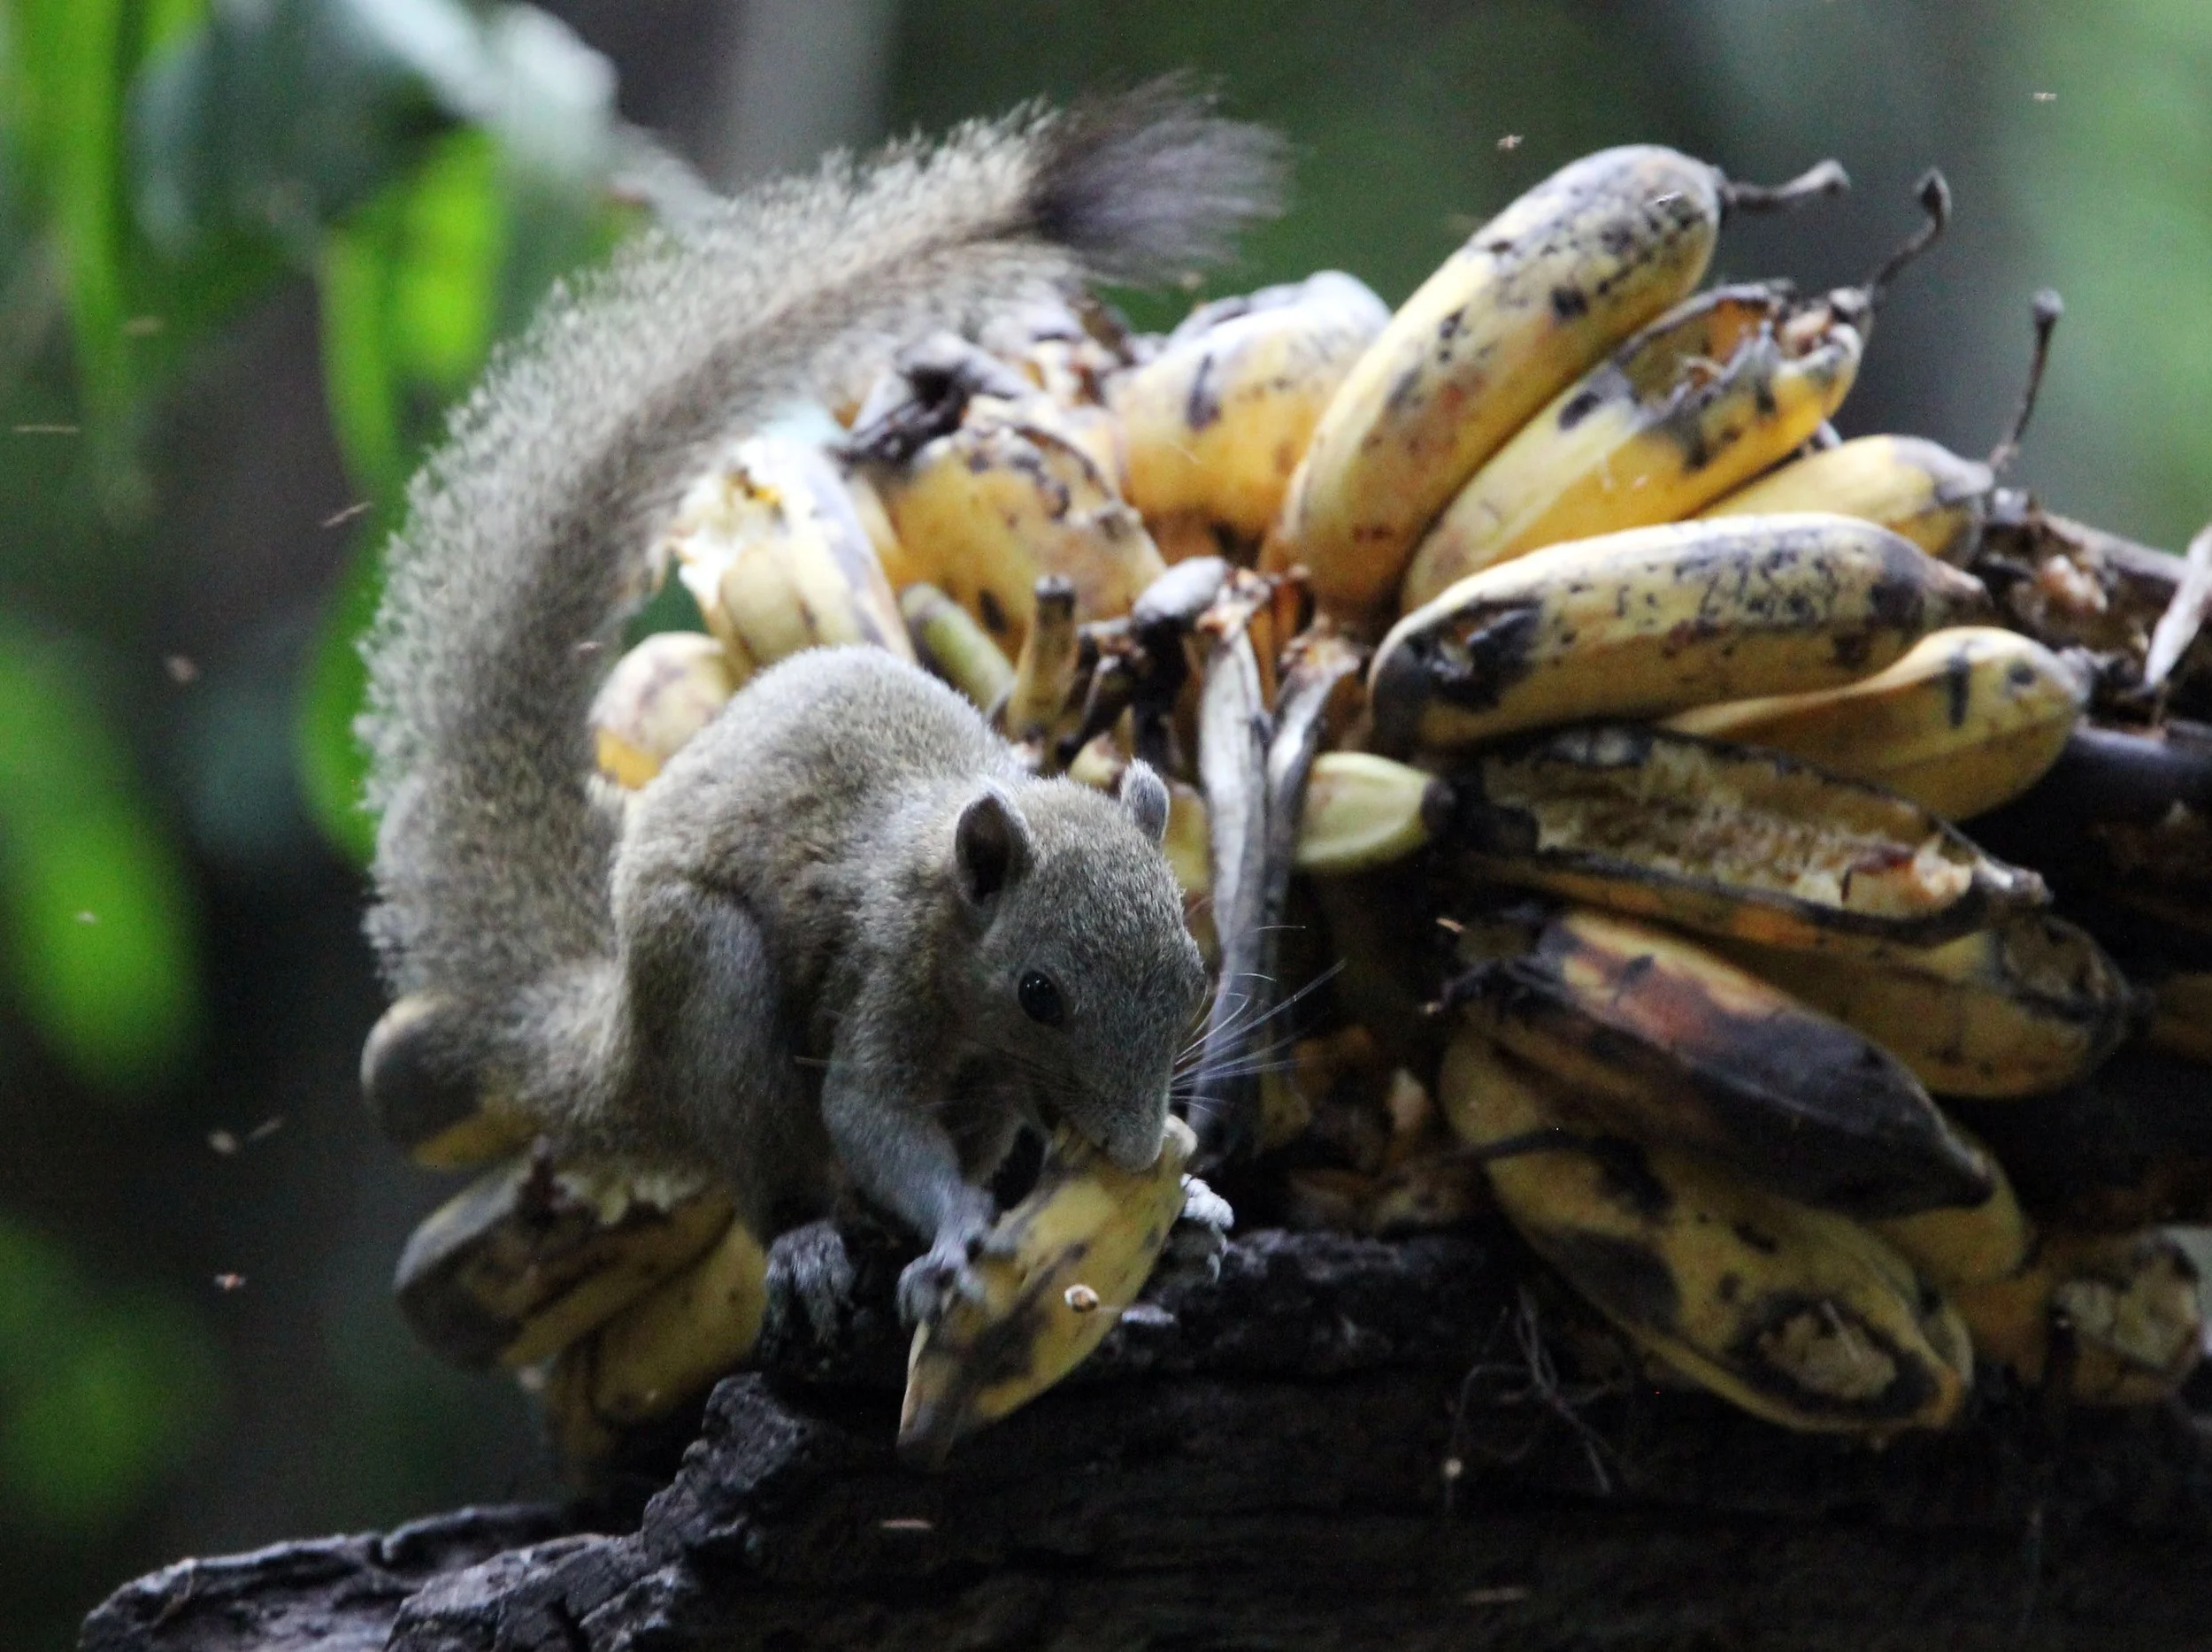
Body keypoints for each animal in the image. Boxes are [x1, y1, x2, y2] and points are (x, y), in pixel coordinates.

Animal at [355, 84, 1284, 1326]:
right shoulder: (886, 970)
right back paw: (805, 1243)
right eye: (1038, 991)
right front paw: (958, 1234)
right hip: (710, 987)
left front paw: (1183, 1211)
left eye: (1191, 977)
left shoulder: (1003, 1064)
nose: (1139, 1151)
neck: (955, 893)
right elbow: (870, 1115)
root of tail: (618, 1045)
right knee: (774, 1164)